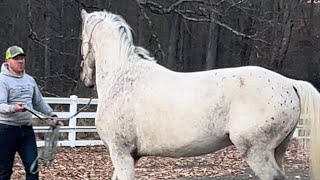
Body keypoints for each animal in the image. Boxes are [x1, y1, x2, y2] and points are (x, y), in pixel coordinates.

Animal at [79, 9, 320, 179]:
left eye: (82, 39)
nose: (85, 78)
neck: (122, 77)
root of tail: (290, 84)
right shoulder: (129, 156)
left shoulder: (121, 154)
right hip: (278, 150)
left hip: (257, 153)